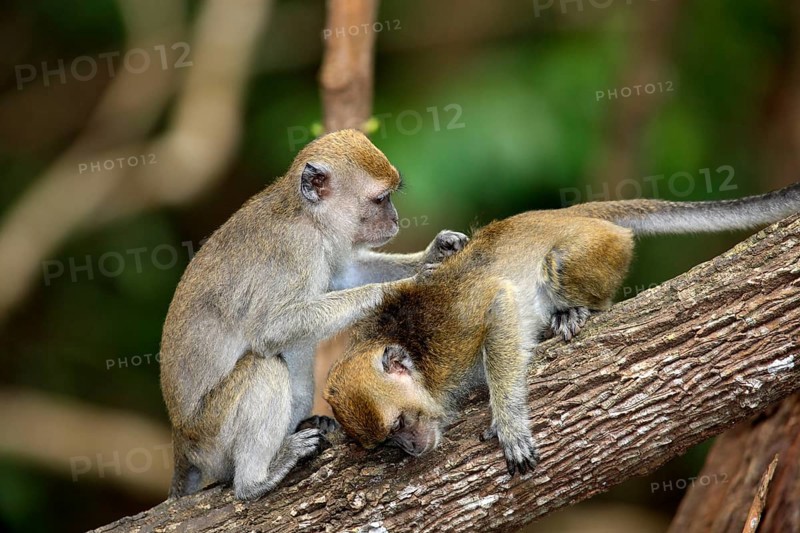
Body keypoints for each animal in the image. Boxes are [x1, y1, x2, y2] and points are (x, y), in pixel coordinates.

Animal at [159, 128, 468, 500]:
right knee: (264, 367)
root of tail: (181, 440)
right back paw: (255, 481)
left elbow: (346, 273)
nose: (394, 219)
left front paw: (437, 251)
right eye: (380, 200)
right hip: (211, 436)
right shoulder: (297, 247)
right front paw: (405, 285)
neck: (307, 216)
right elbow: (271, 328)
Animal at [324, 183, 800, 476]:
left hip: (600, 245)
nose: (410, 447)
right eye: (387, 444)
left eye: (401, 424)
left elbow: (499, 303)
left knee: (558, 263)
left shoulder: (449, 337)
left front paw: (507, 423)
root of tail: (563, 213)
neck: (418, 357)